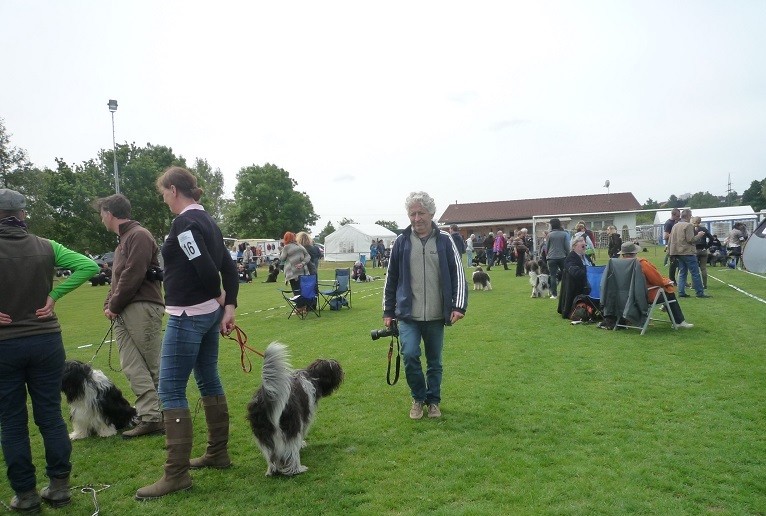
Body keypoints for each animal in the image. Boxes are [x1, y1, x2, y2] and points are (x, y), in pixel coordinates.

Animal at [248, 342, 344, 476]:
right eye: (336, 368)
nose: (343, 373)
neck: (311, 377)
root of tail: (268, 396)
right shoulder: (305, 417)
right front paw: (301, 444)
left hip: (262, 431)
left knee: (270, 453)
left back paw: (272, 470)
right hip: (292, 425)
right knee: (291, 450)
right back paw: (297, 469)